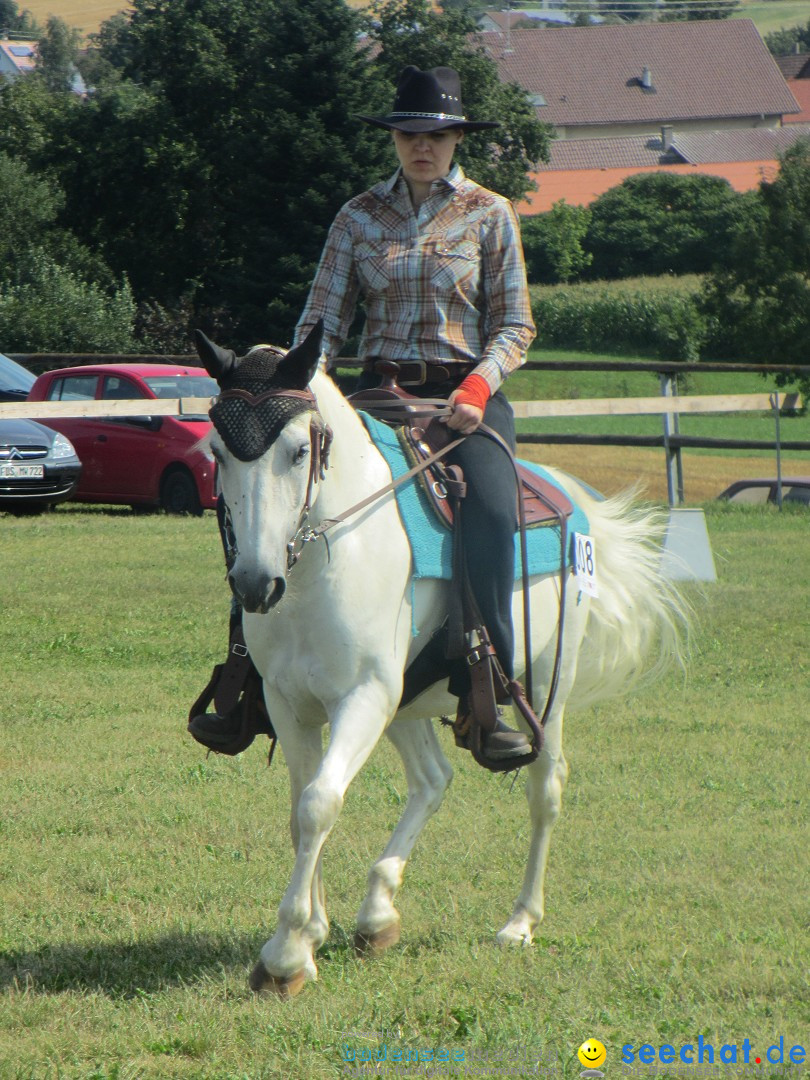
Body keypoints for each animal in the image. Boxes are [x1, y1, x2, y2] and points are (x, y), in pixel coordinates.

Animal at [193, 326, 686, 993]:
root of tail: (568, 495)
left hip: (544, 689)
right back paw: (377, 915)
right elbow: (302, 809)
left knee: (545, 787)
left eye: (298, 451)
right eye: (219, 452)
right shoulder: (289, 701)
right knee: (433, 778)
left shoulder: (363, 696)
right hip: (406, 700)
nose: (254, 584)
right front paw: (310, 933)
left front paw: (285, 956)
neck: (328, 555)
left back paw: (519, 922)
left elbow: (320, 804)